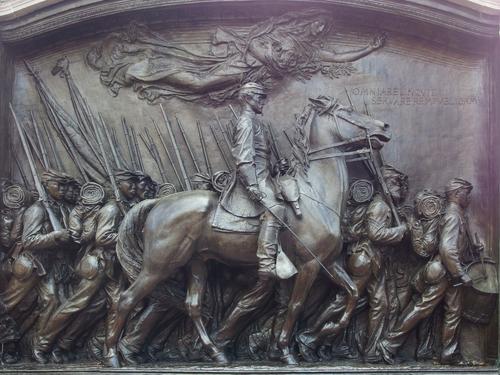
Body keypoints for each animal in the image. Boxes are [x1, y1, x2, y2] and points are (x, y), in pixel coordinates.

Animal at [106, 96, 394, 368]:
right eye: (346, 111)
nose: (384, 127)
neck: (316, 195)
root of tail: (157, 203)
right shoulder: (309, 265)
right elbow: (296, 307)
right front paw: (287, 351)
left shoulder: (329, 262)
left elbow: (352, 292)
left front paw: (325, 332)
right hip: (158, 266)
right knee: (126, 299)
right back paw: (112, 355)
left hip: (197, 263)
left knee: (192, 305)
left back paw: (216, 353)